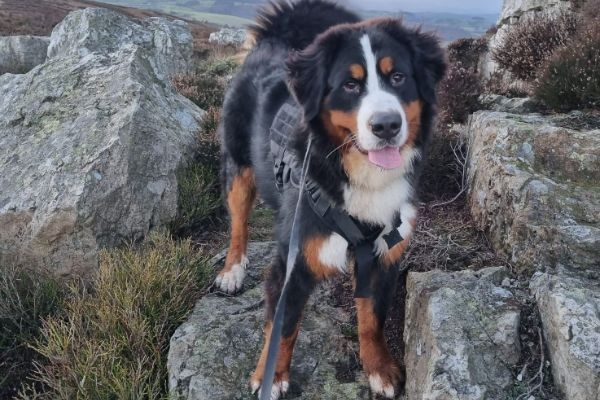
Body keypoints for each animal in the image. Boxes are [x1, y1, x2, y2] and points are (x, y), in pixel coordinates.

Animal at [214, 0, 446, 396]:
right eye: (350, 84)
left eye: (398, 77)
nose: (386, 125)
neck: (355, 176)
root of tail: (274, 39)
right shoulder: (293, 262)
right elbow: (284, 325)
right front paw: (271, 377)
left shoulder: (382, 255)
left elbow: (371, 319)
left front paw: (379, 368)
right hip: (239, 166)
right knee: (238, 223)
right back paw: (232, 269)